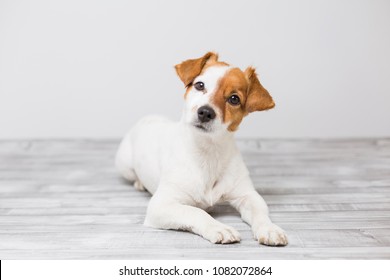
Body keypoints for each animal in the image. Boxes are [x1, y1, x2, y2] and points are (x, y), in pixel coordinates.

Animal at [114, 52, 288, 245]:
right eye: (199, 85)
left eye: (234, 99)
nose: (205, 112)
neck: (207, 151)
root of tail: (150, 118)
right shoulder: (160, 205)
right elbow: (196, 211)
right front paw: (219, 227)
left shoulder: (248, 195)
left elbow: (260, 213)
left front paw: (270, 228)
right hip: (125, 166)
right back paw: (139, 183)